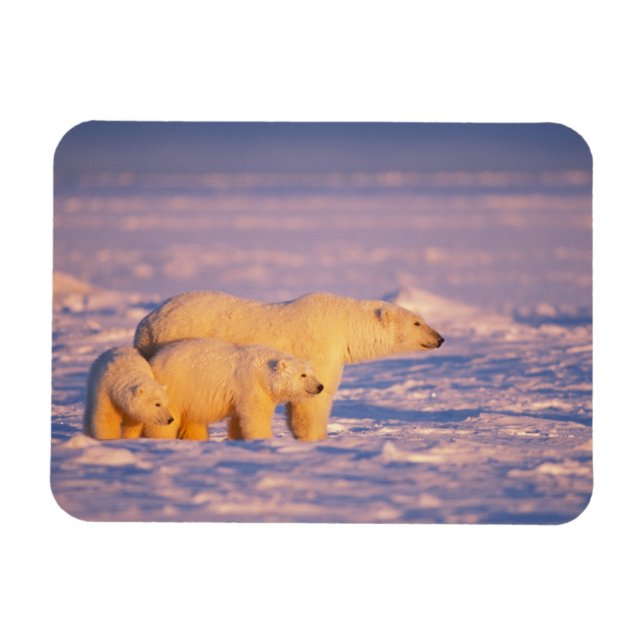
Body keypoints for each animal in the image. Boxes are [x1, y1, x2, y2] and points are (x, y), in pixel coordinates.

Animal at [142, 338, 324, 441]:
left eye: (312, 373)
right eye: (302, 375)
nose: (320, 386)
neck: (263, 372)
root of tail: (154, 361)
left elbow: (239, 419)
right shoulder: (251, 385)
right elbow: (256, 416)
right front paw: (264, 439)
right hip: (177, 386)